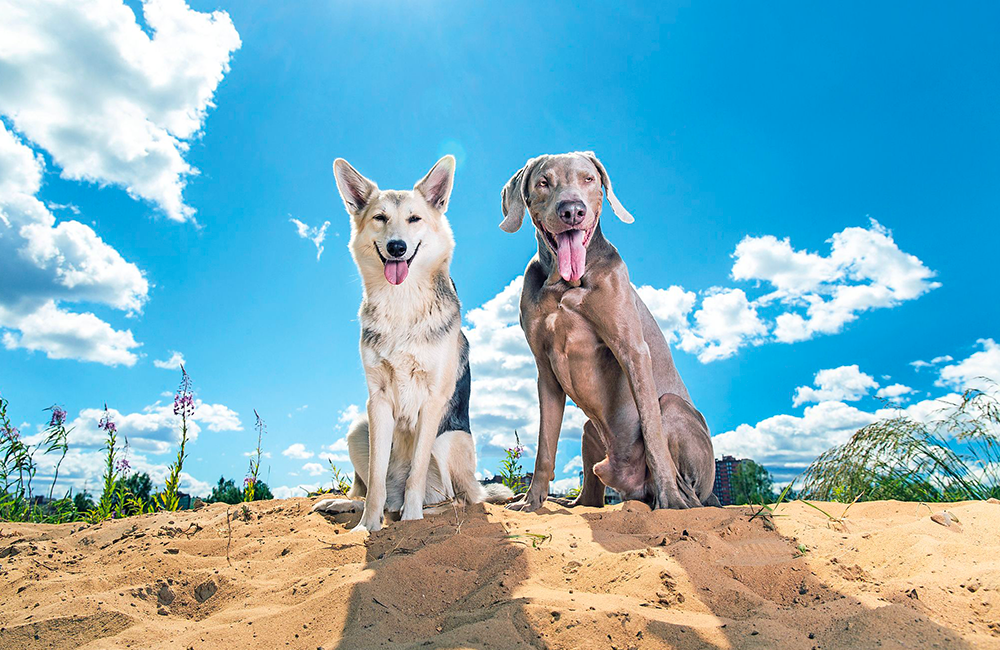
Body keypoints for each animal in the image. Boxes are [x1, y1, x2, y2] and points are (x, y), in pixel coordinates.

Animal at [500, 153, 720, 512]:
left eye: (589, 179)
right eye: (544, 182)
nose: (572, 210)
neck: (565, 284)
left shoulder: (632, 350)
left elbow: (652, 433)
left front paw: (670, 501)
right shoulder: (545, 370)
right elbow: (545, 446)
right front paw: (531, 502)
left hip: (673, 407)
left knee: (688, 488)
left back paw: (675, 500)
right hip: (590, 432)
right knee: (590, 498)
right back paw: (561, 501)